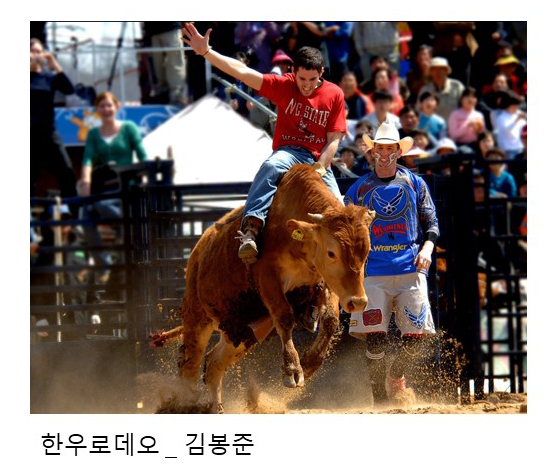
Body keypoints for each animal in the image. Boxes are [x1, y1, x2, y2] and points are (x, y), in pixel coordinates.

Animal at [151, 164, 375, 413]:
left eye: (366, 252)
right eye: (331, 252)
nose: (358, 302)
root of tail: (197, 252)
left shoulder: (326, 281)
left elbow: (330, 321)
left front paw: (308, 364)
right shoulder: (267, 277)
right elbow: (285, 318)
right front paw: (293, 371)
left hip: (242, 331)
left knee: (214, 363)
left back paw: (215, 407)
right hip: (197, 316)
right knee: (189, 364)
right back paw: (185, 403)